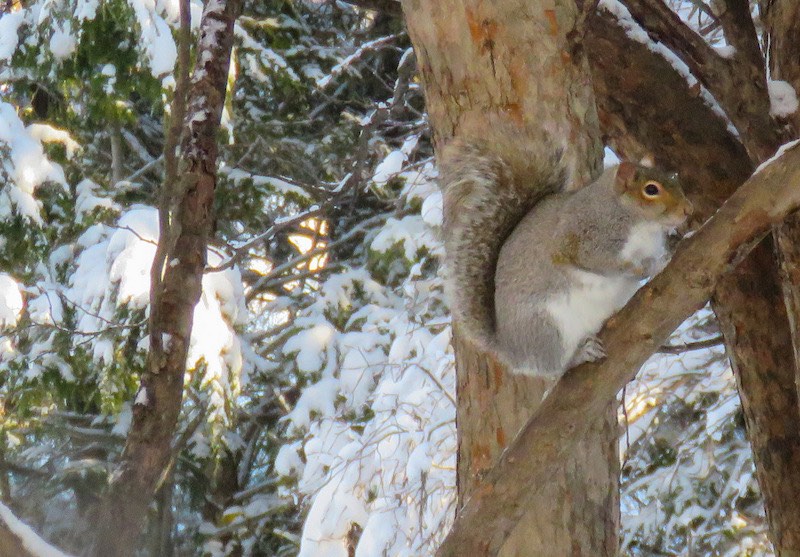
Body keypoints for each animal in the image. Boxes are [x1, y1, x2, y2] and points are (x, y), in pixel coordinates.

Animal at [440, 139, 692, 376]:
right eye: (651, 190)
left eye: (674, 179)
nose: (688, 210)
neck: (640, 223)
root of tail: (509, 349)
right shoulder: (584, 241)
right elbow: (610, 264)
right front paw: (646, 268)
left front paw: (669, 252)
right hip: (547, 329)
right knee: (555, 366)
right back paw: (581, 354)